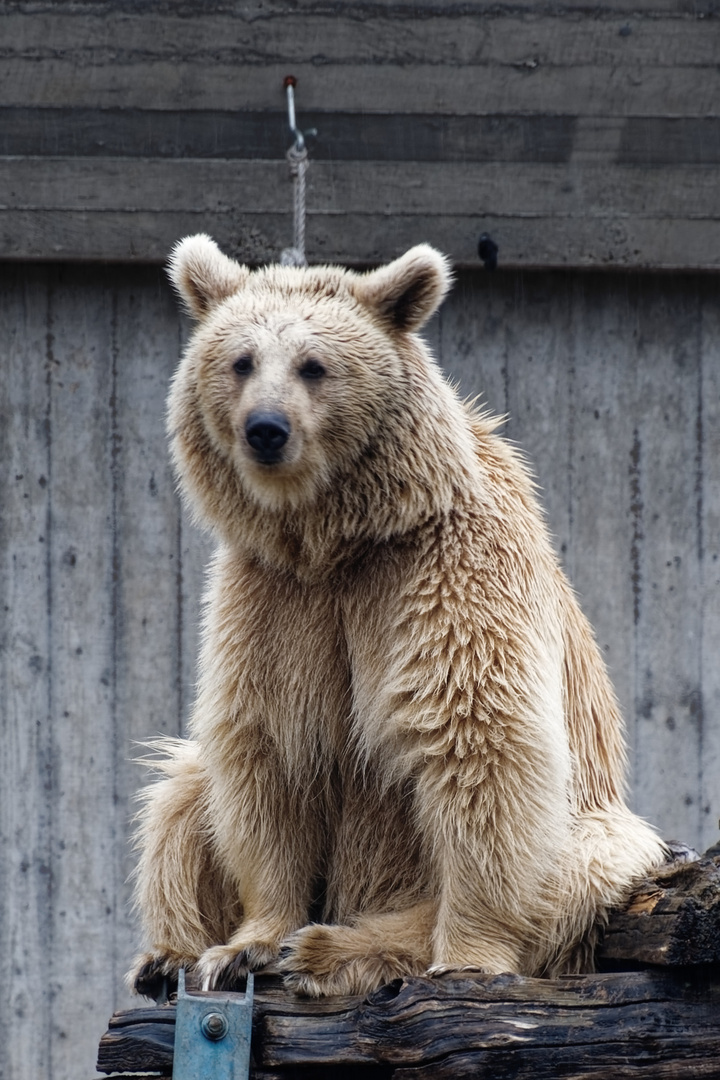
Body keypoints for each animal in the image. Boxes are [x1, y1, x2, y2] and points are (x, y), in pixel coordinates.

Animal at [126, 236, 669, 993]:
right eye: (240, 360)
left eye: (314, 365)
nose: (266, 429)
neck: (335, 540)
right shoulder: (272, 599)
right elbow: (266, 752)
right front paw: (246, 946)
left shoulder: (441, 575)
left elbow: (479, 741)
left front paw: (465, 952)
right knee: (180, 796)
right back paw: (167, 953)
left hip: (600, 828)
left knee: (573, 864)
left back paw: (337, 947)